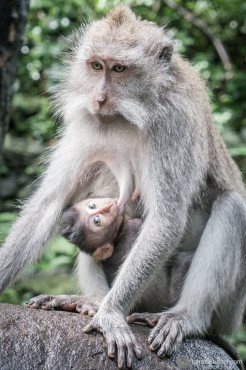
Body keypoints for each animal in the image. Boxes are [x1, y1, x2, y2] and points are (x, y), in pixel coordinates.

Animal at [0, 3, 246, 370]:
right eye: (96, 65)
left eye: (119, 69)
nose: (99, 98)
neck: (128, 115)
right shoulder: (88, 122)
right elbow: (51, 204)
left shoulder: (174, 123)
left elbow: (166, 220)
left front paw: (111, 315)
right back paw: (90, 301)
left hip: (227, 309)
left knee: (232, 207)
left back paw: (187, 317)